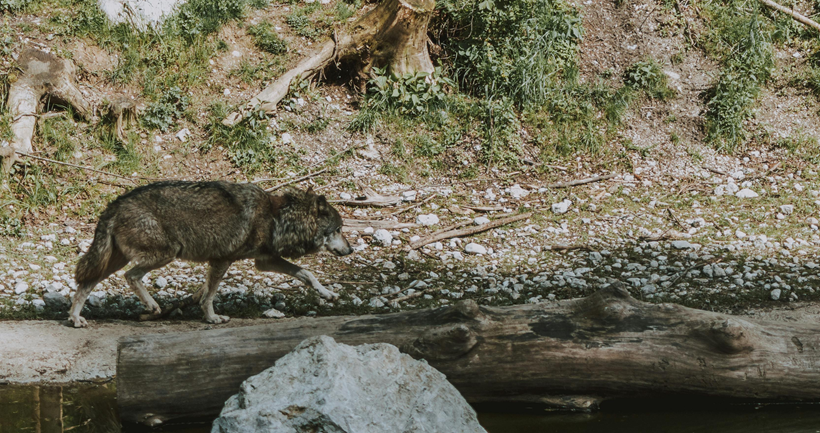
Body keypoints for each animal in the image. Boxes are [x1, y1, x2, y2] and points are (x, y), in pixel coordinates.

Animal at [68, 181, 353, 328]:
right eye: (339, 229)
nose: (350, 249)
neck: (277, 218)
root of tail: (114, 204)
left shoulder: (265, 261)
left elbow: (307, 274)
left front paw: (328, 294)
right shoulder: (222, 260)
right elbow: (210, 295)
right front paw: (213, 318)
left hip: (114, 260)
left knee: (86, 283)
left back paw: (75, 319)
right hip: (166, 253)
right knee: (131, 276)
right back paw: (152, 306)